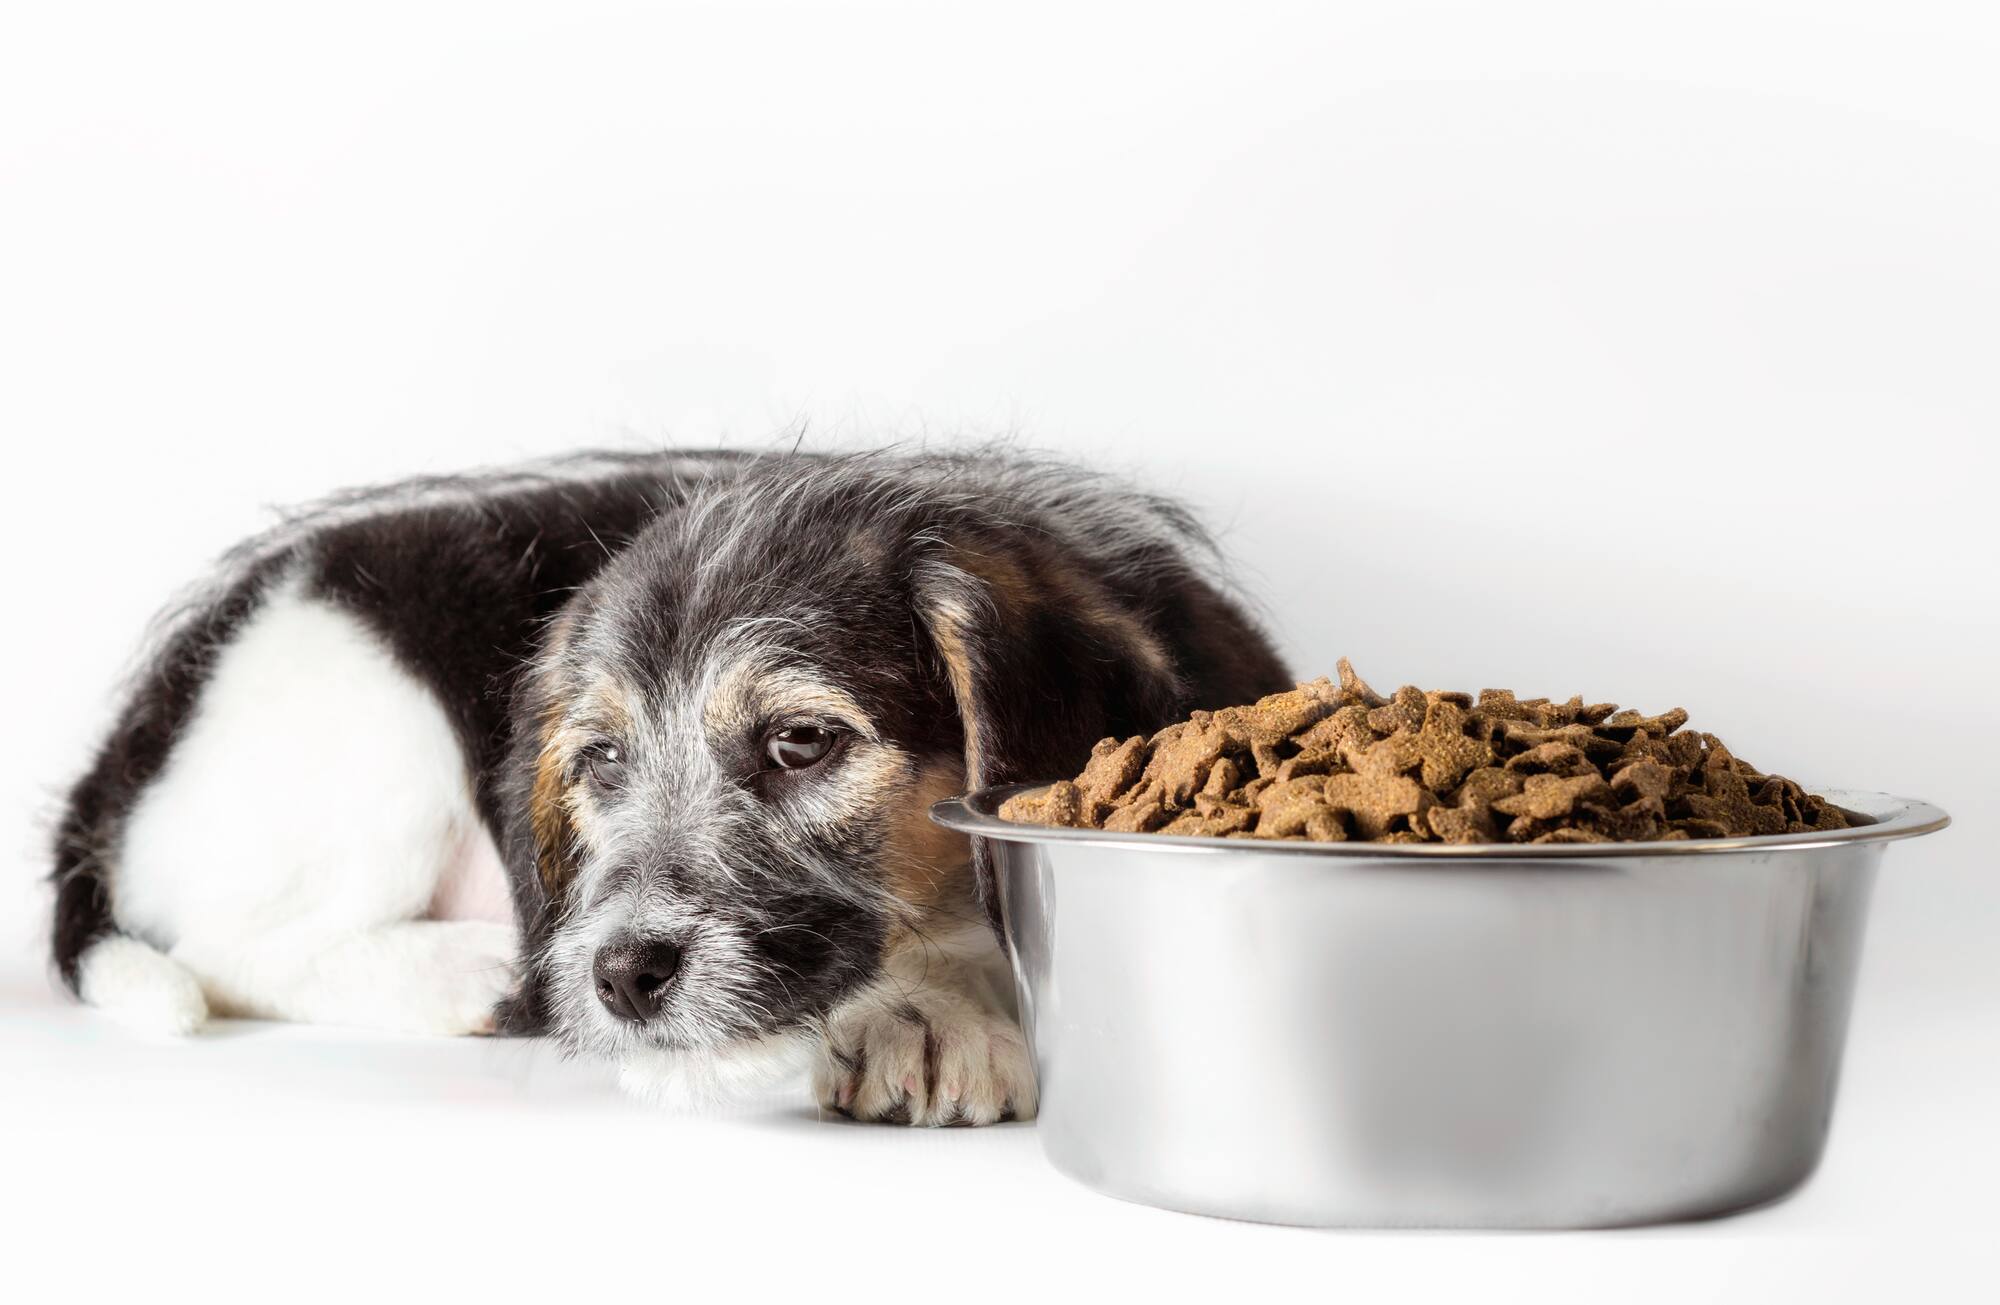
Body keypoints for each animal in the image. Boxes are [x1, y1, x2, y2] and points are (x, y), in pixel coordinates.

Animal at [50, 448, 1296, 1120]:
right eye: (601, 759)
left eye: (801, 744)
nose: (618, 978)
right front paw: (928, 1014)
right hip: (370, 732)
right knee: (227, 942)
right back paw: (481, 973)